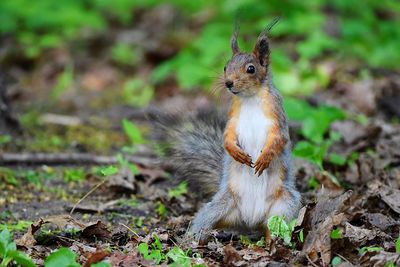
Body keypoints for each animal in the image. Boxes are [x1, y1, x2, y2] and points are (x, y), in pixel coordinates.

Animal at [152, 24, 300, 244]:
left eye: (251, 68)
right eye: (225, 66)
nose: (229, 83)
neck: (250, 98)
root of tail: (251, 220)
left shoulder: (278, 116)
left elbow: (279, 138)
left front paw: (265, 158)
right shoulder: (233, 117)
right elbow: (227, 136)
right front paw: (234, 152)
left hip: (284, 207)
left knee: (275, 227)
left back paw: (272, 242)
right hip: (220, 206)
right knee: (206, 220)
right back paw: (193, 238)